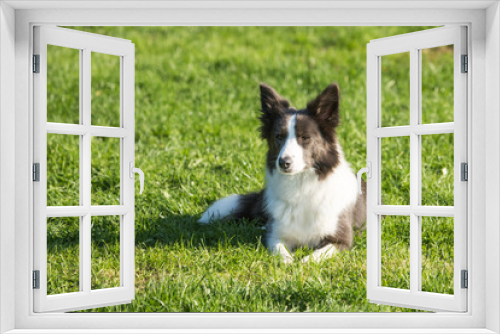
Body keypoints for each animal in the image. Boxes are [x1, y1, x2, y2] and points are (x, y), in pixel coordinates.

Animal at [199, 83, 368, 264]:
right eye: (278, 137)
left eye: (305, 137)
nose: (283, 162)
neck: (302, 187)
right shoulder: (275, 235)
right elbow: (281, 252)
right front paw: (289, 263)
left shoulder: (341, 240)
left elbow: (314, 256)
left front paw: (303, 264)